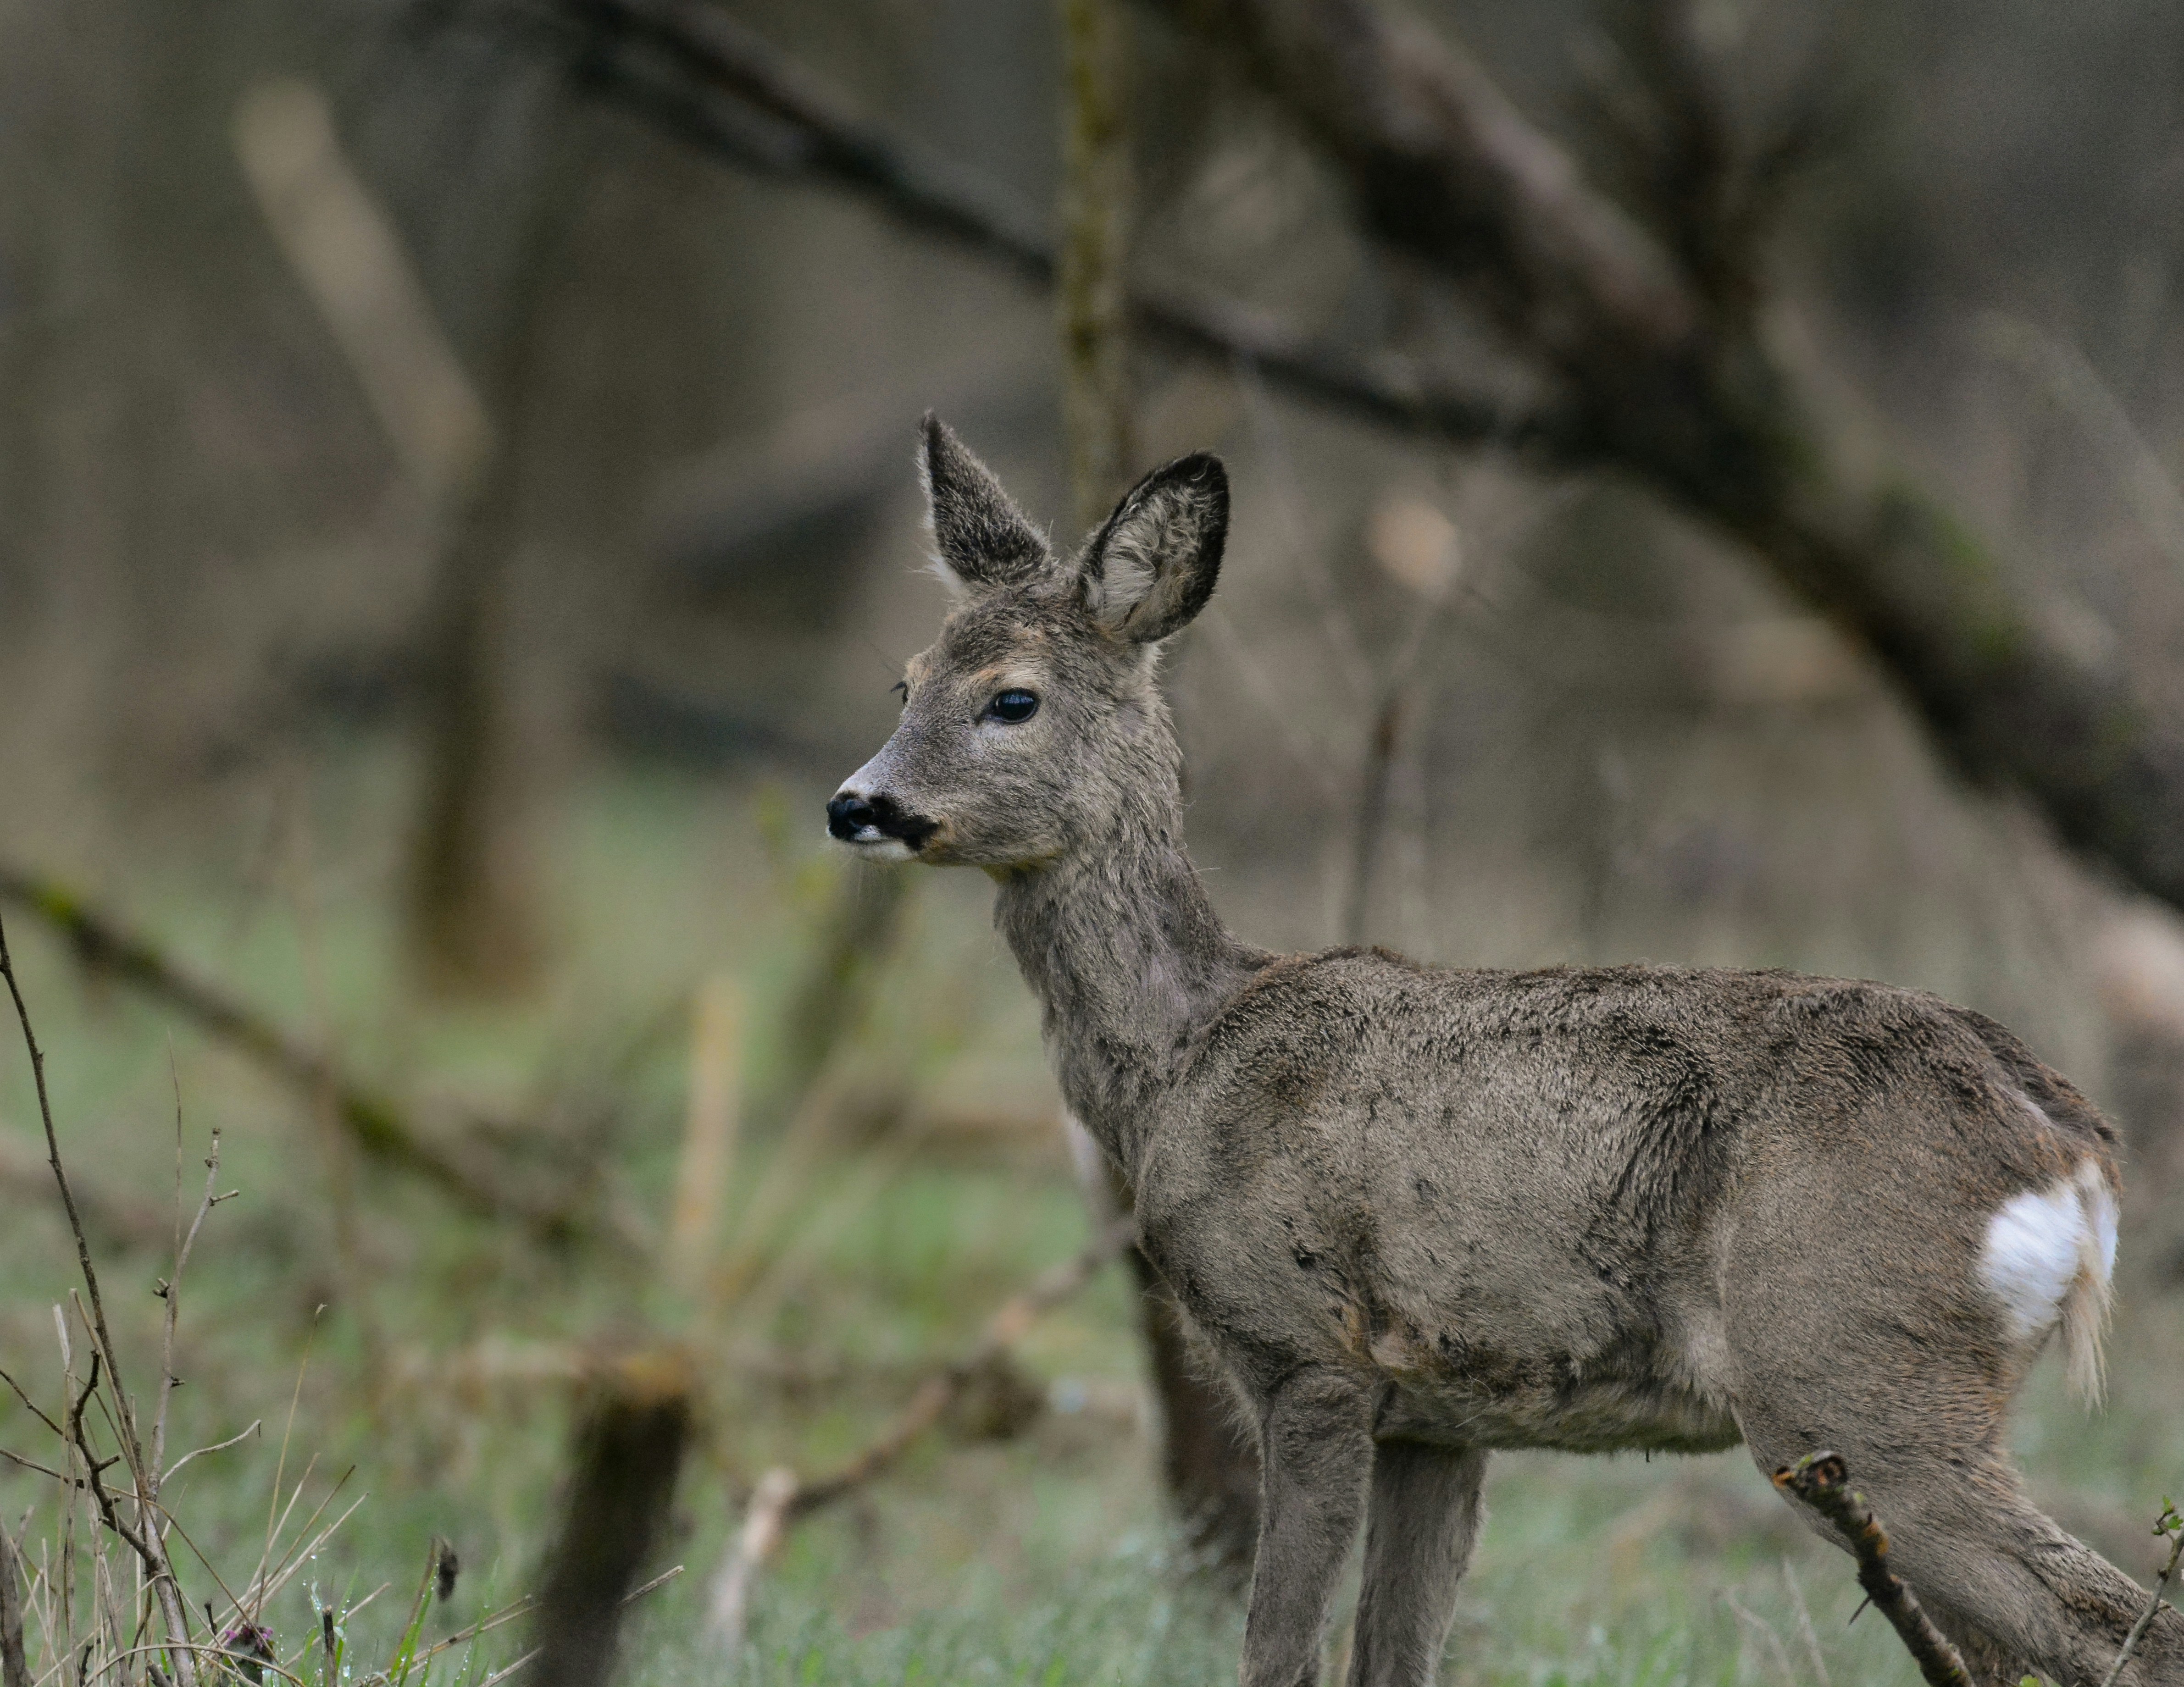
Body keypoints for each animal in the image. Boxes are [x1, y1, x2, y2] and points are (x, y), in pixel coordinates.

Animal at [825, 415, 2178, 1687]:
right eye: (904, 681)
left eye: (1011, 697)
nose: (855, 804)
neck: (1183, 1056)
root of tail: (2070, 1147)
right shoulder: (1439, 1414)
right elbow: (1394, 1653)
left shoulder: (1307, 1354)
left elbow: (1280, 1650)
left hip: (1852, 1365)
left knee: (2121, 1624)